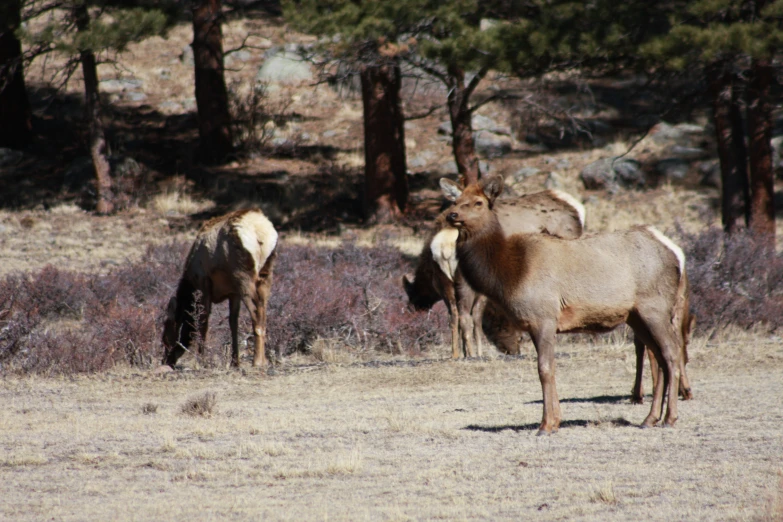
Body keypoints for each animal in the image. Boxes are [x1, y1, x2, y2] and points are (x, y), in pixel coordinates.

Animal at [162, 207, 278, 366]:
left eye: (166, 333)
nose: (165, 361)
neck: (190, 278)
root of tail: (258, 232)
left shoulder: (203, 282)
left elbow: (203, 320)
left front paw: (201, 360)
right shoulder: (233, 293)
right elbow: (233, 322)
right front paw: (235, 362)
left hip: (243, 276)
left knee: (256, 314)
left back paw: (257, 361)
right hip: (266, 274)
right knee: (263, 313)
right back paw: (263, 360)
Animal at [402, 186, 584, 358]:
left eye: (412, 295)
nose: (513, 350)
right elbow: (476, 318)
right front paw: (475, 352)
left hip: (450, 284)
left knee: (455, 316)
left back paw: (457, 354)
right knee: (461, 316)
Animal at [444, 175, 688, 430]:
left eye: (478, 202)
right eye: (455, 200)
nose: (452, 215)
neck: (509, 274)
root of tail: (676, 253)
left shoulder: (544, 317)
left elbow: (544, 369)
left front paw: (546, 424)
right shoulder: (534, 323)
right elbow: (548, 368)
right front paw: (554, 420)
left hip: (656, 307)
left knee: (671, 353)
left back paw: (670, 418)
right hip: (636, 317)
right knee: (658, 357)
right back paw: (650, 418)